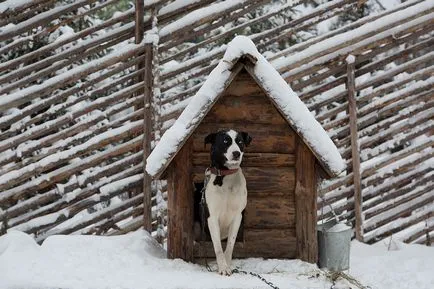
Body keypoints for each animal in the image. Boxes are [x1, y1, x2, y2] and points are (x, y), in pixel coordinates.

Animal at [204, 129, 253, 274]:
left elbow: (230, 245)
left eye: (240, 142)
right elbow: (218, 247)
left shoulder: (238, 216)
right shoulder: (212, 217)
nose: (236, 153)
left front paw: (227, 265)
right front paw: (223, 268)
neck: (227, 176)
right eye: (225, 141)